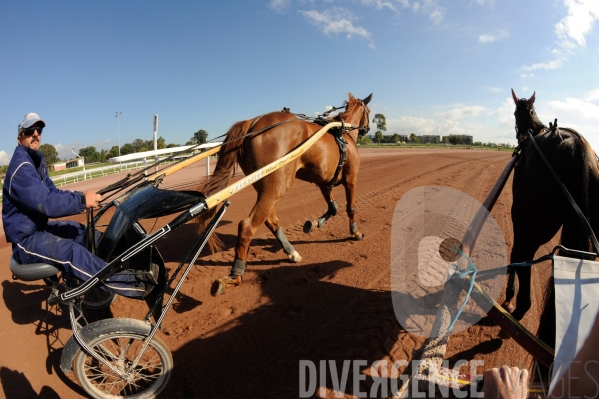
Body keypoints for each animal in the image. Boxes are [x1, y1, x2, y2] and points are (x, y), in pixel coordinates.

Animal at [199, 92, 372, 296]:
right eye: (369, 112)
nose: (367, 129)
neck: (343, 132)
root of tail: (252, 122)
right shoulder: (351, 179)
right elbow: (350, 208)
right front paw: (355, 232)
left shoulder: (324, 181)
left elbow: (333, 208)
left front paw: (313, 224)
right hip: (279, 184)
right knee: (248, 226)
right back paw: (235, 275)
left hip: (265, 185)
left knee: (270, 220)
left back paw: (291, 252)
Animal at [506, 89, 599, 336]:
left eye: (516, 113)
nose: (520, 137)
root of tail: (577, 150)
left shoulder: (519, 212)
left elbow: (516, 250)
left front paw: (510, 291)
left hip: (539, 219)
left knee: (524, 252)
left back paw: (520, 306)